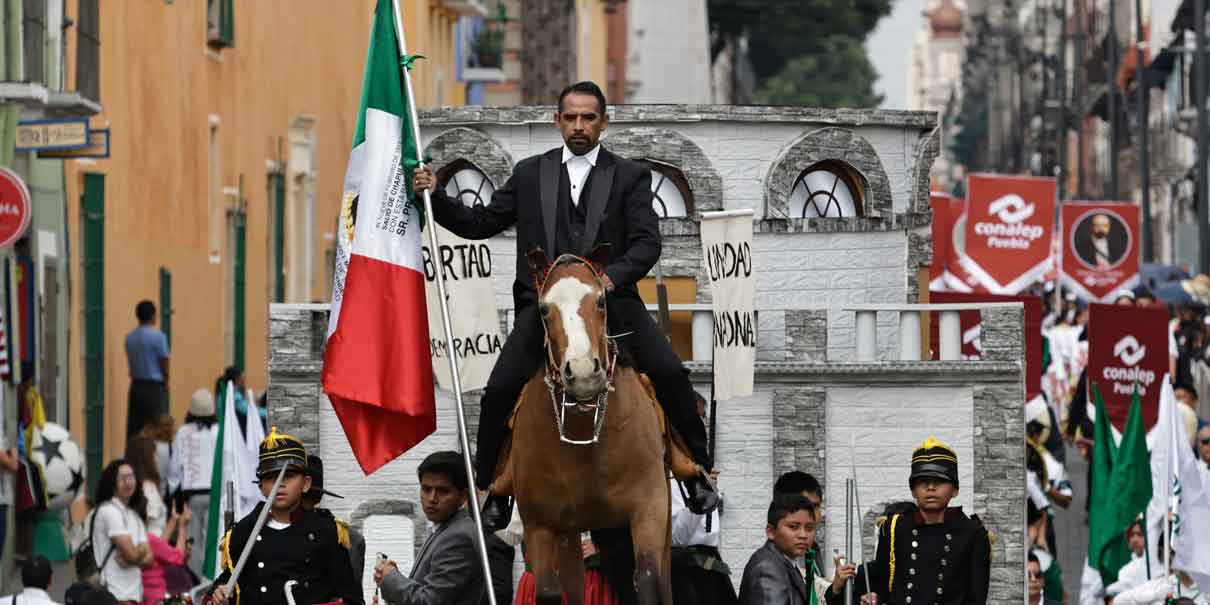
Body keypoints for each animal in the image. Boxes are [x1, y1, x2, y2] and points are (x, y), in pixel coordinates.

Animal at [493, 249, 701, 605]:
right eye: (544, 309)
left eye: (601, 300)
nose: (582, 373)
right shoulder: (541, 524)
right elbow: (549, 592)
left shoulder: (649, 507)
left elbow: (648, 580)